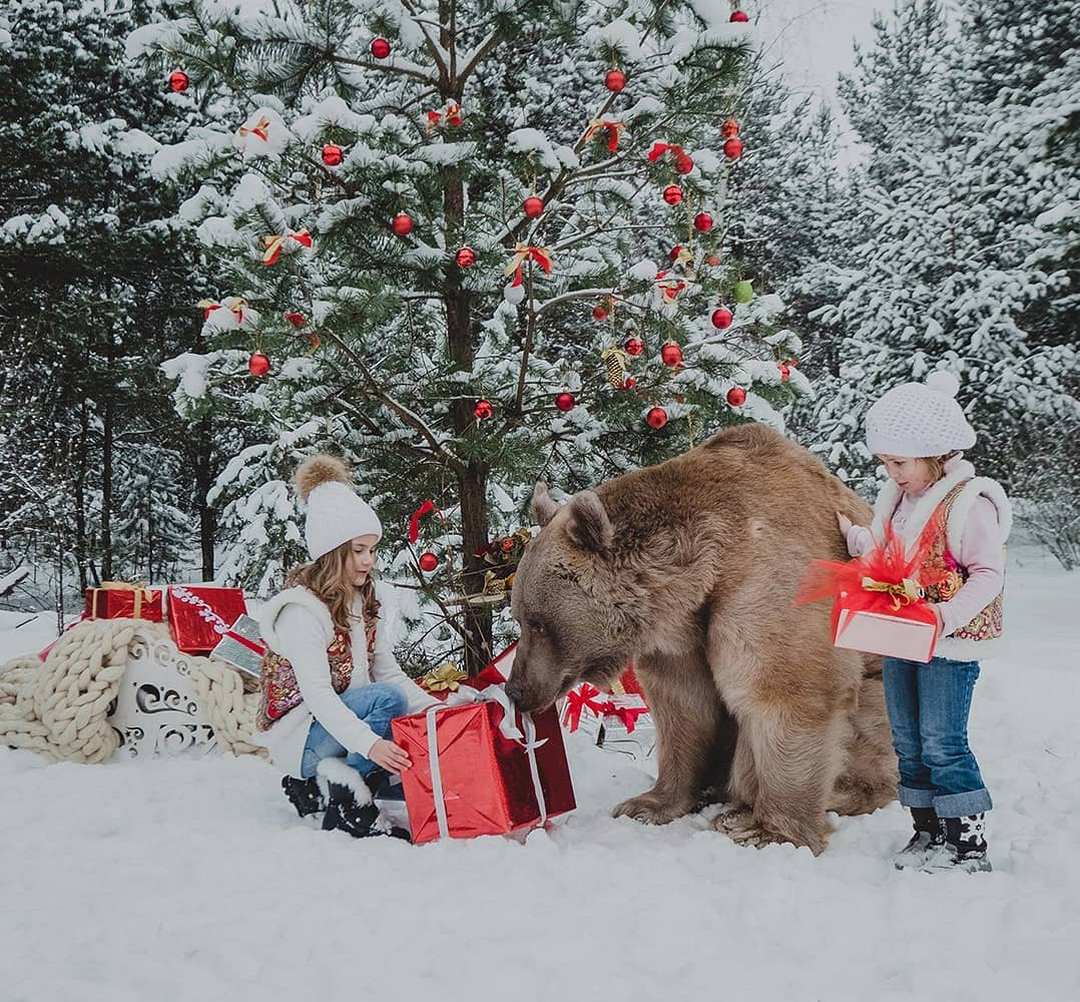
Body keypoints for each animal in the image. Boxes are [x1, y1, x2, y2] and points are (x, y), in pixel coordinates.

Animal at [509, 423, 898, 855]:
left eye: (538, 622)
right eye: (519, 616)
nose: (516, 690)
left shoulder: (763, 581)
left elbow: (785, 689)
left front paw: (768, 831)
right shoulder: (679, 638)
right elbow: (684, 705)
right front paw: (647, 804)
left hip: (882, 686)